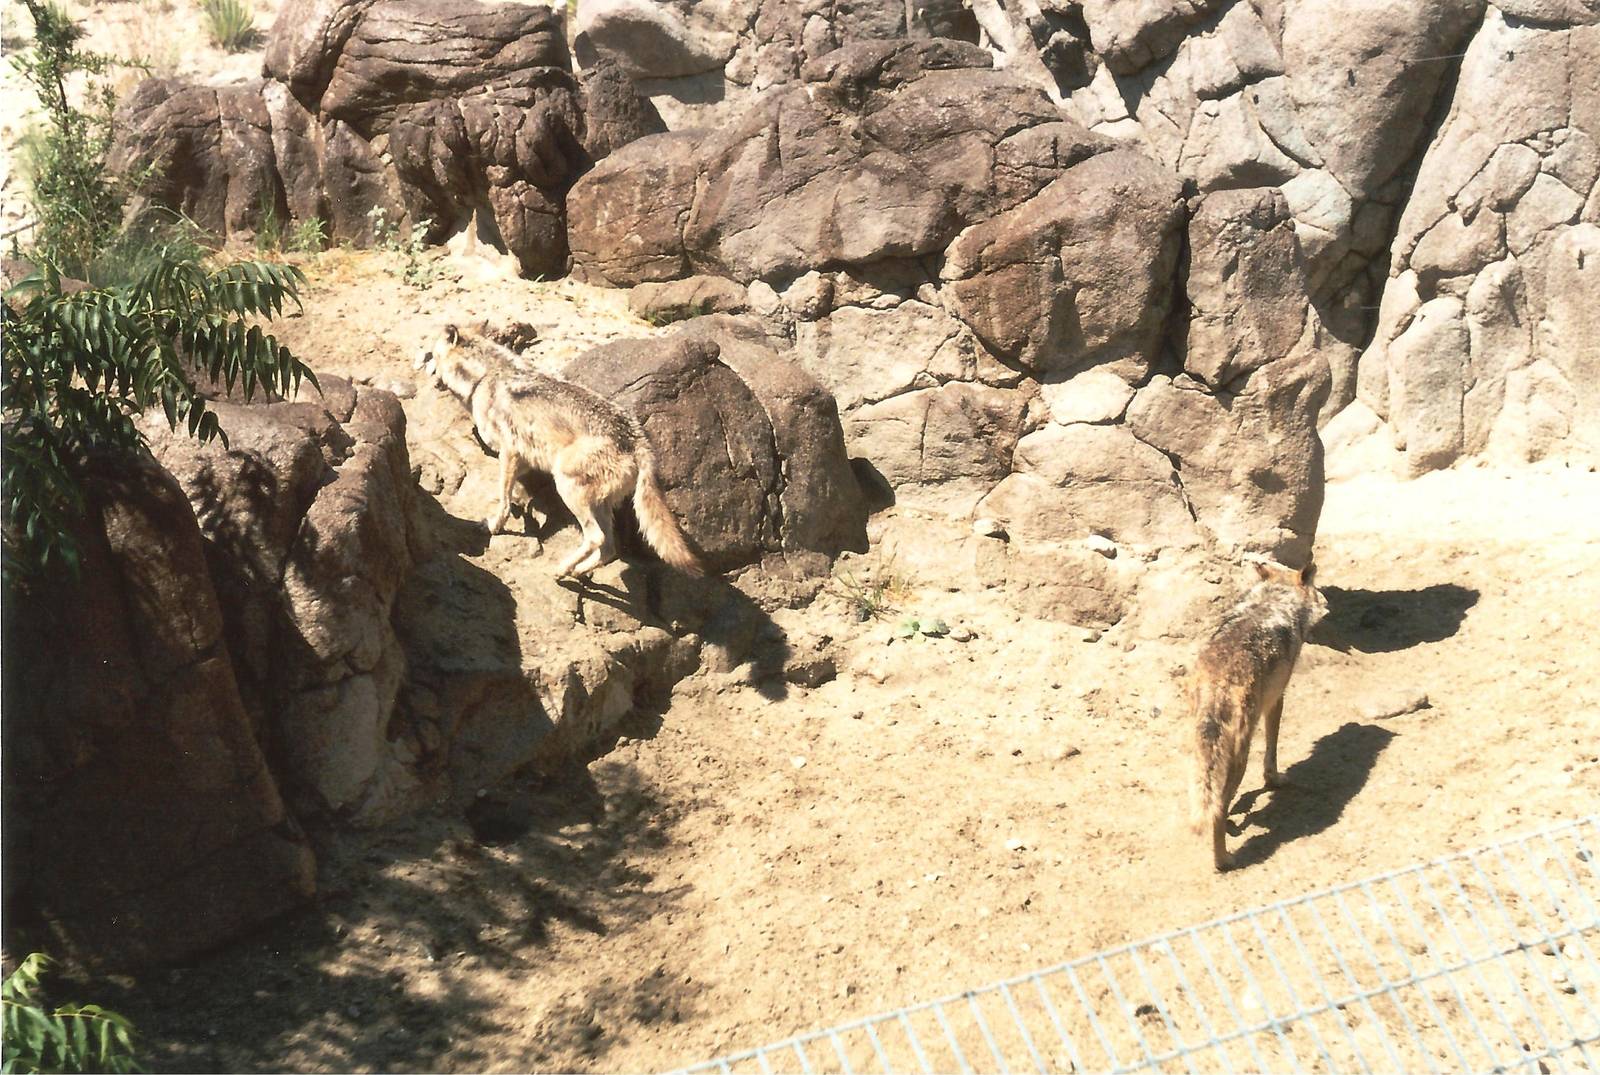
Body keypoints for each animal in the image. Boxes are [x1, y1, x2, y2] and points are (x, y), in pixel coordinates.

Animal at [416, 324, 703, 579]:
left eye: (430, 354)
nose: (422, 368)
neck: (484, 377)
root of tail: (639, 444)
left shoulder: (509, 452)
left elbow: (503, 498)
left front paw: (494, 525)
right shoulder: (522, 460)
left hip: (567, 487)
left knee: (596, 538)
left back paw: (562, 568)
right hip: (596, 503)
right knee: (610, 549)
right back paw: (572, 572)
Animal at [1188, 558, 1328, 871]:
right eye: (1318, 588)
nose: (1327, 603)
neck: (1274, 598)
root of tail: (1218, 683)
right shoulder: (1277, 699)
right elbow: (1272, 749)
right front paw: (1274, 780)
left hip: (1201, 751)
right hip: (1240, 753)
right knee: (1218, 809)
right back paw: (1224, 860)